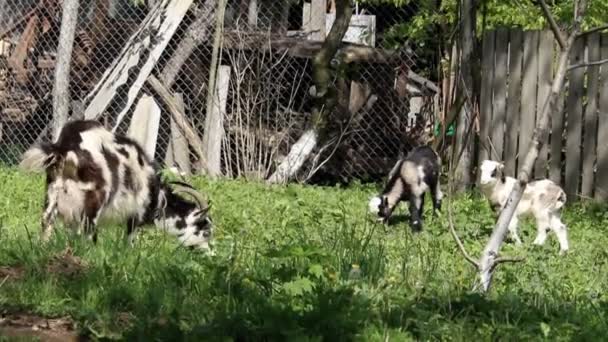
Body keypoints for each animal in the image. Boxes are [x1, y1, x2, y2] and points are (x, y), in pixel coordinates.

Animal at [19, 120, 214, 251]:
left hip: (53, 192)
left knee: (46, 223)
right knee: (87, 232)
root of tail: (65, 147)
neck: (158, 196)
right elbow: (129, 239)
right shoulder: (136, 212)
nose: (209, 252)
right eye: (205, 230)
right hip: (94, 199)